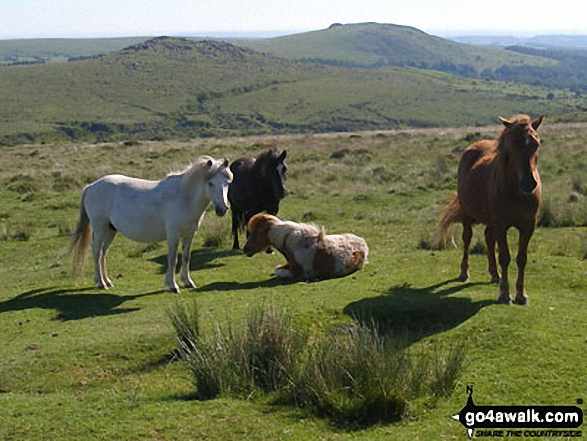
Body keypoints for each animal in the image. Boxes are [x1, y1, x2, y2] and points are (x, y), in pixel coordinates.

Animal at [68, 156, 233, 292]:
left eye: (227, 183)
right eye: (210, 183)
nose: (222, 209)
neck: (184, 196)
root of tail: (90, 186)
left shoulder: (189, 234)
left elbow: (186, 257)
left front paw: (187, 282)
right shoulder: (173, 235)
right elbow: (172, 259)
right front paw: (172, 285)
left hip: (110, 230)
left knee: (103, 253)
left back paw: (107, 281)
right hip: (100, 228)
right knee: (96, 251)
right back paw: (100, 283)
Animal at [438, 115, 544, 304]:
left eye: (536, 143)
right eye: (512, 144)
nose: (528, 183)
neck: (516, 192)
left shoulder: (528, 225)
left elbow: (521, 258)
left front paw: (521, 294)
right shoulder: (501, 225)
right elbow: (505, 257)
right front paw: (504, 294)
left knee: (488, 237)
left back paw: (495, 275)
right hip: (468, 216)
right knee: (467, 239)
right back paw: (464, 272)